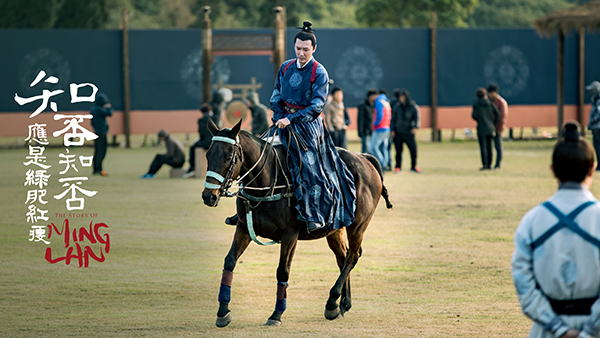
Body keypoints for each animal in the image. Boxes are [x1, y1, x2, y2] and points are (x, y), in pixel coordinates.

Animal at [199, 119, 392, 328]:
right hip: (335, 229)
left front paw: (276, 314)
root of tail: (365, 158)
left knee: (352, 257)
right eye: (208, 154)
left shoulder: (289, 235)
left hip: (358, 226)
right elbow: (230, 261)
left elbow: (283, 271)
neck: (269, 181)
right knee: (343, 257)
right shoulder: (243, 227)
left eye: (228, 157)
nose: (209, 196)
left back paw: (332, 302)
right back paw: (342, 305)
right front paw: (223, 311)